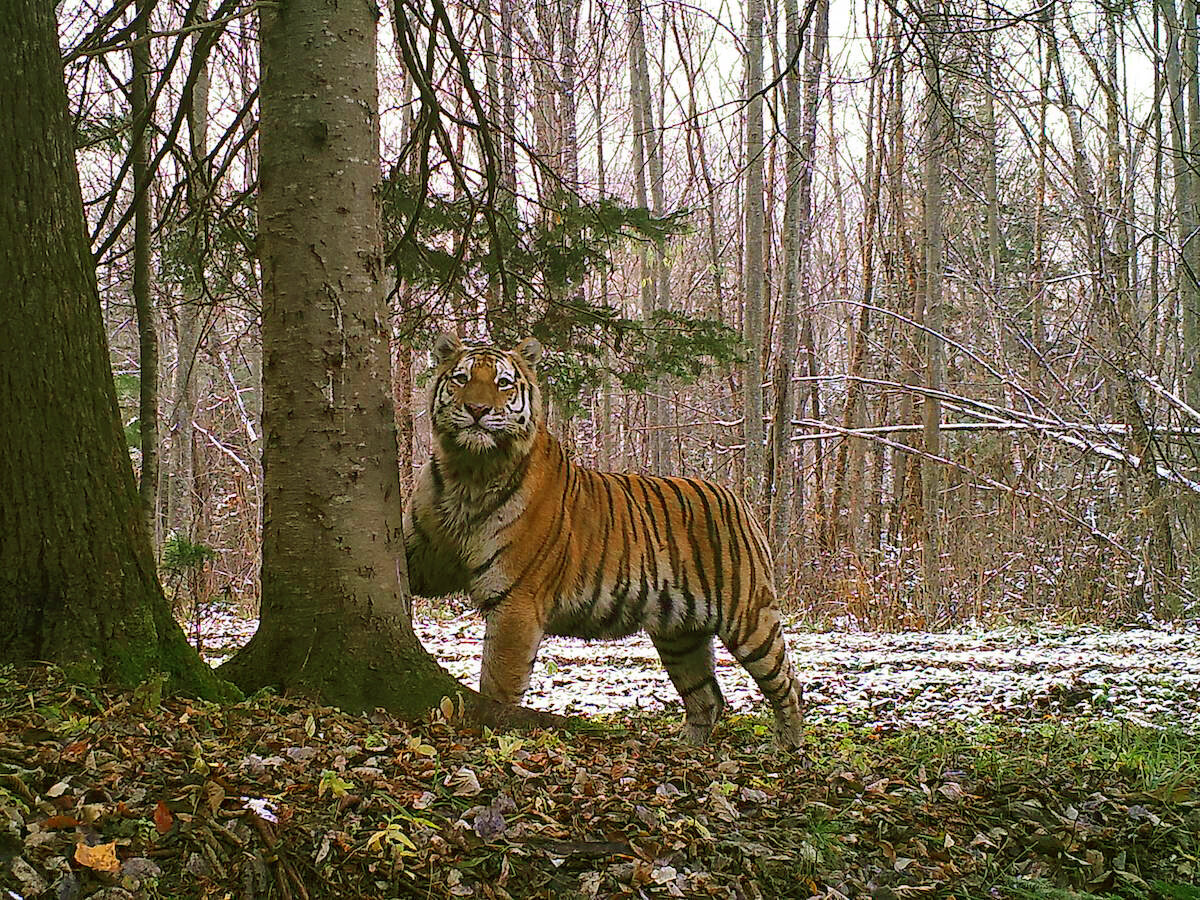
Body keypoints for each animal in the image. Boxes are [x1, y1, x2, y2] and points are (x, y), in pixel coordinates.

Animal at [403, 331, 806, 748]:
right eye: (461, 378)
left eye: (502, 382)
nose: (478, 410)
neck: (468, 471)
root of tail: (737, 499)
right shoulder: (423, 559)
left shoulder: (516, 602)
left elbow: (498, 683)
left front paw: (496, 736)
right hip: (680, 635)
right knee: (707, 696)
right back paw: (688, 747)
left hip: (749, 617)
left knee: (788, 683)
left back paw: (786, 746)